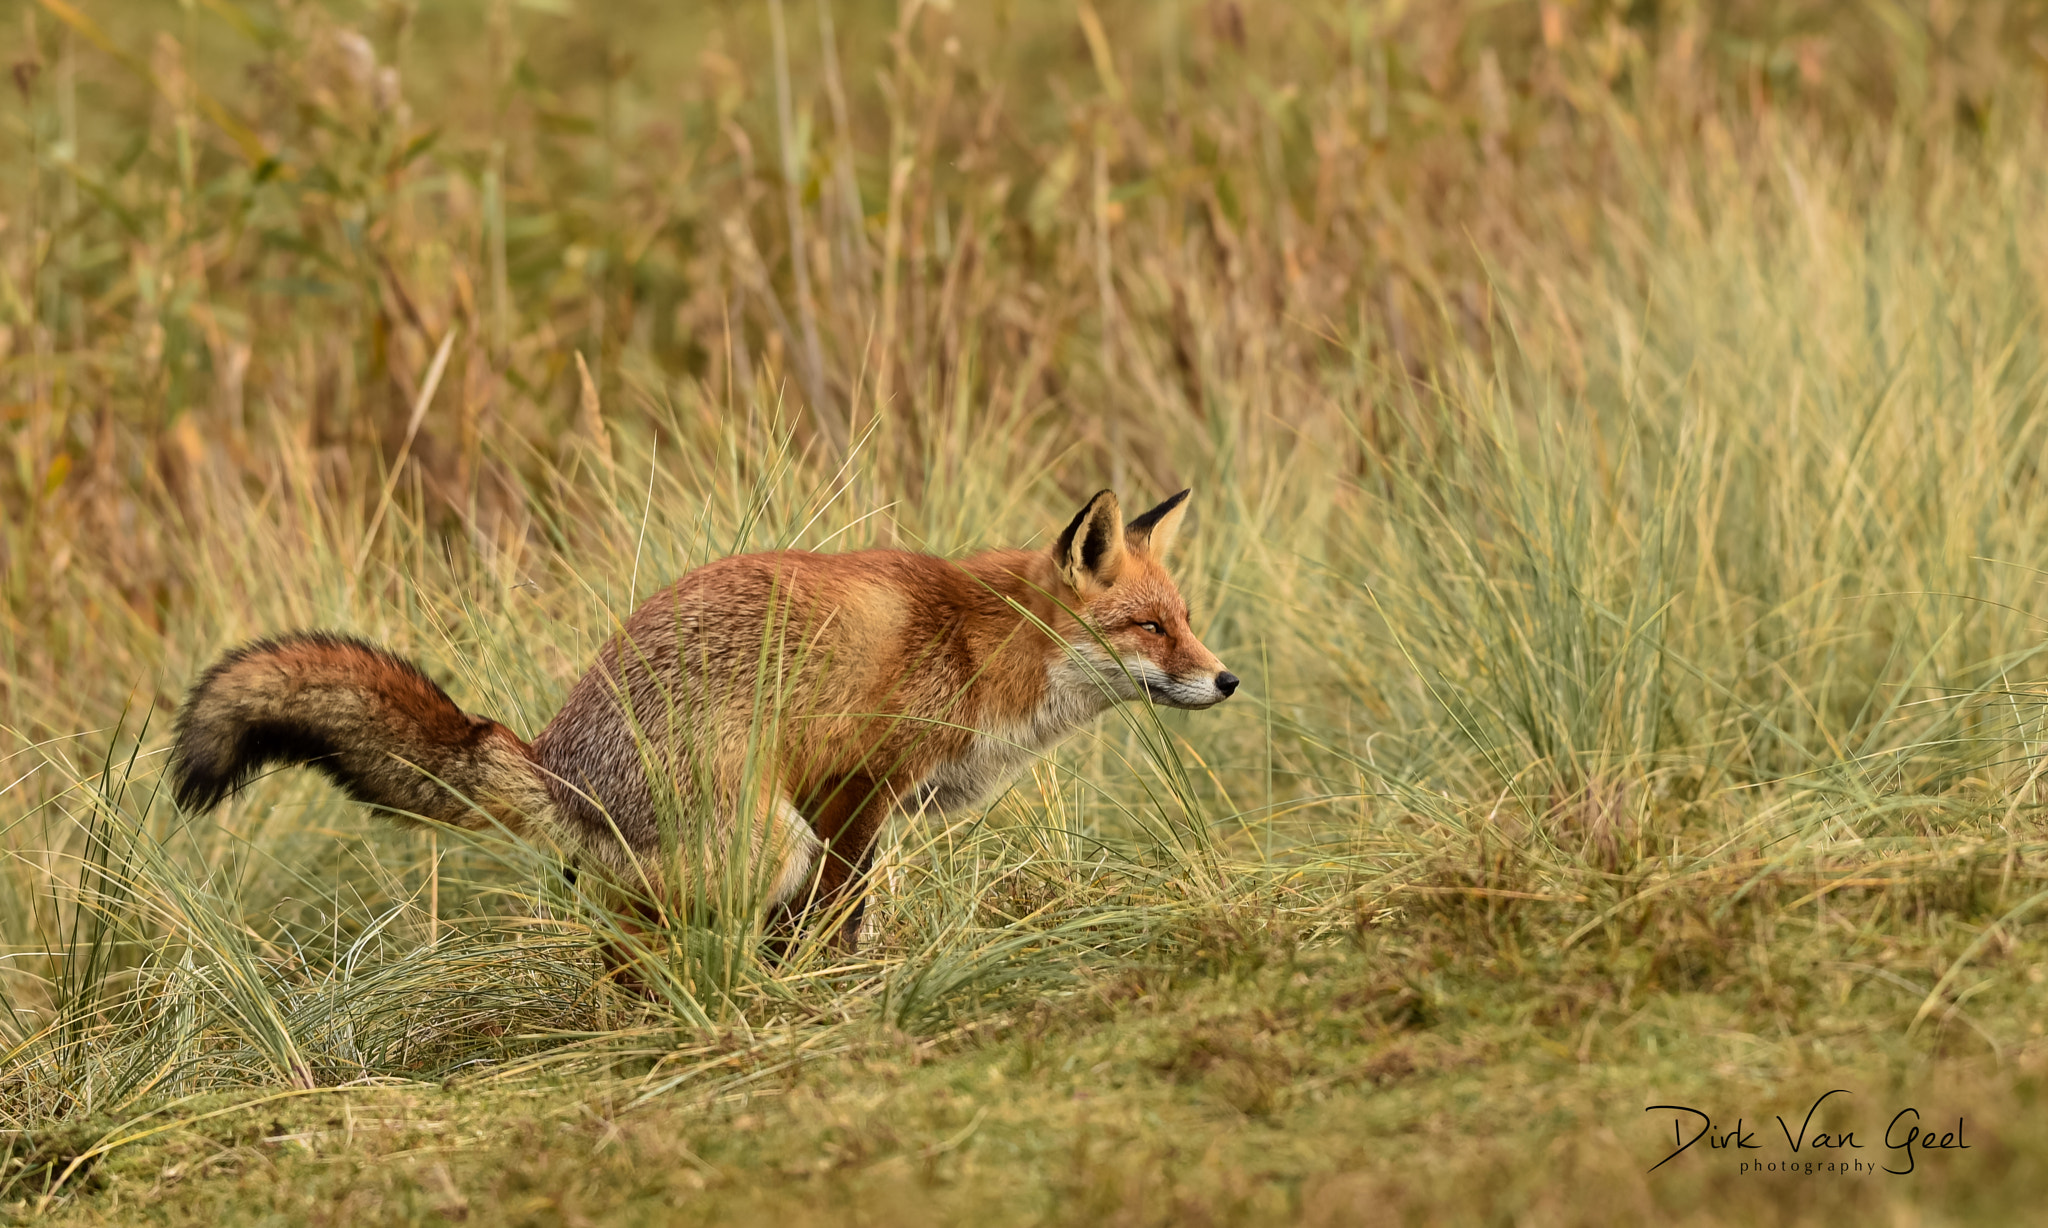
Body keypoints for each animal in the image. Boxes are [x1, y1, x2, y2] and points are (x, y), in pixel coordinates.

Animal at [172, 485, 1228, 966]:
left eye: (1185, 618)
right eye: (1149, 628)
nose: (1227, 679)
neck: (980, 644)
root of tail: (554, 766)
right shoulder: (849, 791)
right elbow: (840, 918)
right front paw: (835, 990)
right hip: (770, 838)